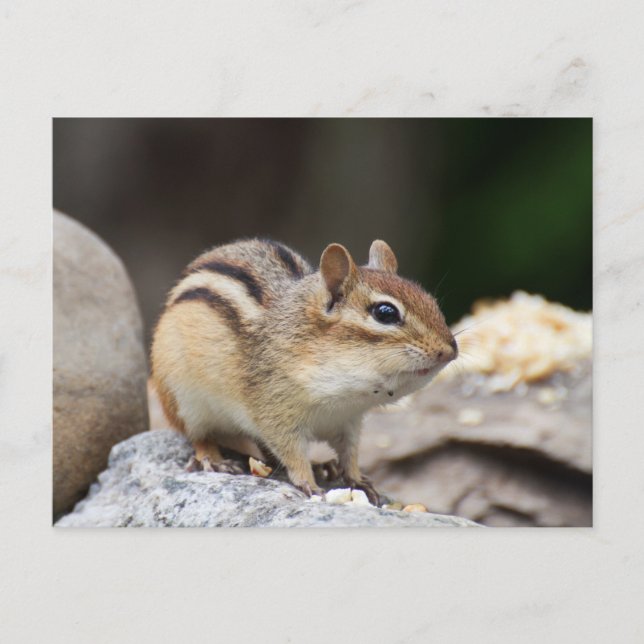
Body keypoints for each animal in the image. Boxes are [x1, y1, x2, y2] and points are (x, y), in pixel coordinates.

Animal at [150, 238, 457, 505]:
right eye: (385, 313)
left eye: (430, 300)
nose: (450, 350)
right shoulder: (274, 412)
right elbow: (291, 453)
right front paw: (309, 483)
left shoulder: (349, 421)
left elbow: (350, 453)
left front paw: (356, 479)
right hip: (184, 401)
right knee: (198, 436)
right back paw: (214, 459)